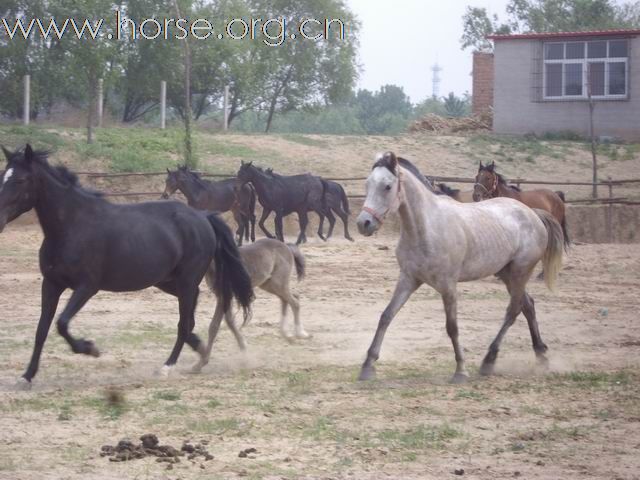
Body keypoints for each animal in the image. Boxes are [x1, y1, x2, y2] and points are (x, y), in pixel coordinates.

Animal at [0, 146, 255, 386]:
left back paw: (167, 367)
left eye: (20, 180)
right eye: (3, 175)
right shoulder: (51, 284)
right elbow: (42, 330)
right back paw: (200, 351)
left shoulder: (86, 287)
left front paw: (90, 348)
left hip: (186, 280)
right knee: (191, 315)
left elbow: (62, 324)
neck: (72, 226)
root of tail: (203, 217)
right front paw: (27, 376)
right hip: (167, 281)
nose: (0, 220)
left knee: (184, 323)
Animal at [358, 151, 564, 382]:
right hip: (507, 273)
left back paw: (489, 360)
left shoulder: (448, 286)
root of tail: (533, 213)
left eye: (387, 186)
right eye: (367, 183)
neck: (427, 228)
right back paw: (541, 356)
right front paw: (367, 366)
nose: (363, 223)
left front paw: (461, 371)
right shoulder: (408, 279)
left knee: (513, 310)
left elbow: (452, 327)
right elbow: (386, 316)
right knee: (527, 305)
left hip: (521, 271)